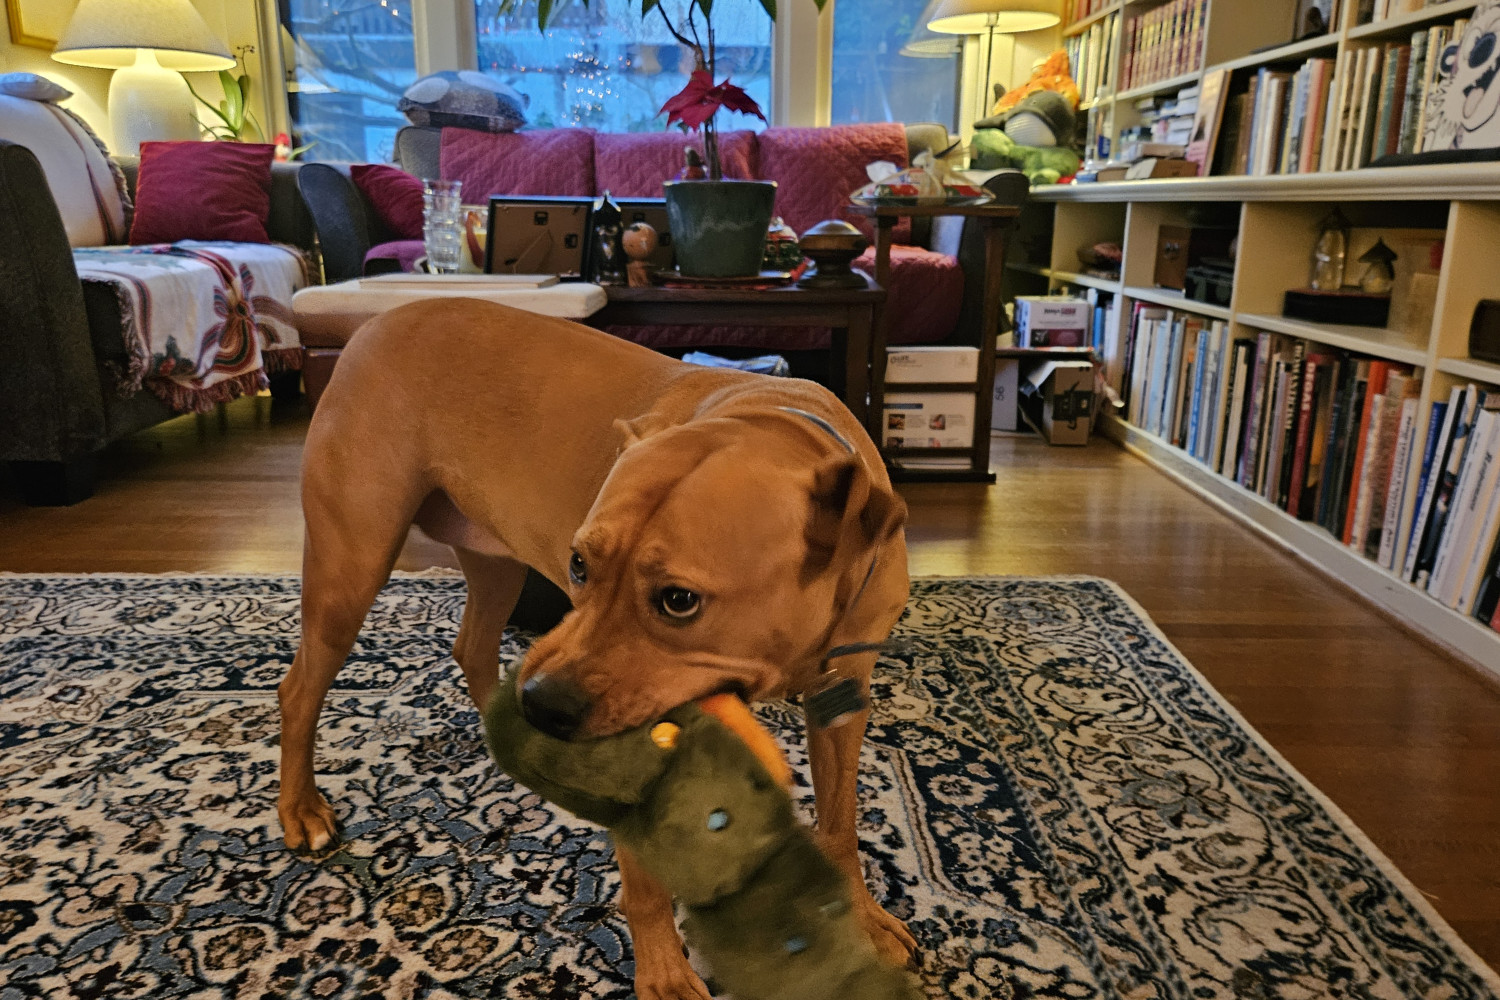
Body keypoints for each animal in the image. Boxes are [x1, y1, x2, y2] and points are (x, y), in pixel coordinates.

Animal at [280, 299, 912, 1000]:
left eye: (678, 600)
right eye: (579, 565)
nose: (542, 706)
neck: (775, 418)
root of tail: (375, 321)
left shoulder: (843, 707)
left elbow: (841, 826)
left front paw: (863, 923)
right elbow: (645, 887)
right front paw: (664, 974)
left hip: (495, 563)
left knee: (471, 646)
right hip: (350, 567)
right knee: (299, 688)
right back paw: (300, 808)